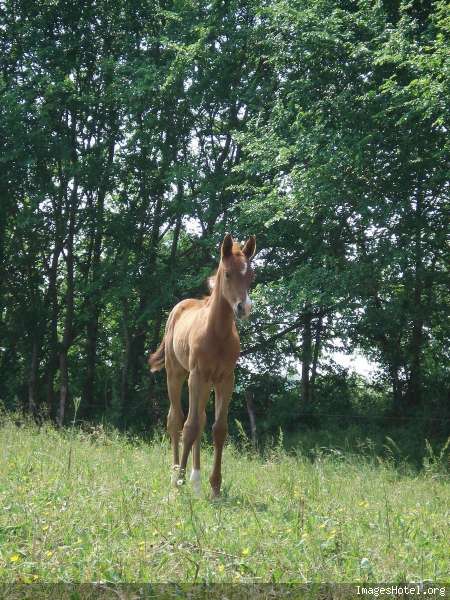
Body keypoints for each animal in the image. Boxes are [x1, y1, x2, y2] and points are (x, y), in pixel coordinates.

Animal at [149, 234, 255, 496]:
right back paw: (176, 473)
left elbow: (218, 428)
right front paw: (178, 484)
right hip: (177, 375)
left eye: (251, 275)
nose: (244, 308)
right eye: (227, 273)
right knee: (176, 419)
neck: (217, 334)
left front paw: (215, 487)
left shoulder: (226, 379)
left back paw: (196, 480)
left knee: (201, 419)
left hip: (206, 382)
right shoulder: (196, 376)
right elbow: (189, 426)